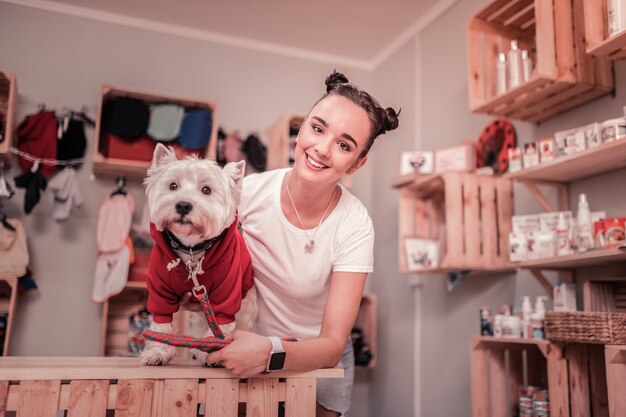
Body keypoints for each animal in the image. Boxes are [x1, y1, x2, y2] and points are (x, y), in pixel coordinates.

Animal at [141, 143, 256, 364]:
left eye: (206, 190)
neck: (191, 250)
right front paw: (157, 352)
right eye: (173, 186)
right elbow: (160, 323)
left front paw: (211, 351)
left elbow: (220, 323)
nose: (183, 205)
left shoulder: (227, 292)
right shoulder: (160, 290)